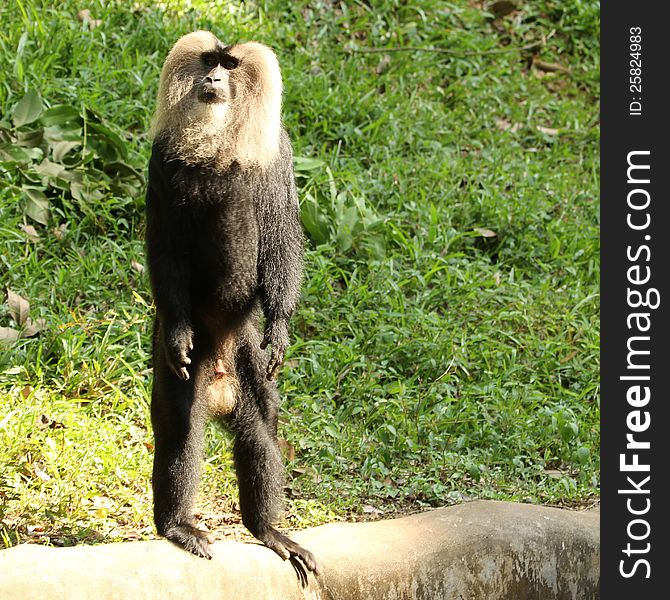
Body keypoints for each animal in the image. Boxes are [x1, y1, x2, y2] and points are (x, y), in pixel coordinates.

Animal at [146, 30, 318, 576]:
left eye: (230, 64)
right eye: (208, 61)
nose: (213, 78)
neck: (218, 140)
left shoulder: (278, 156)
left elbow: (281, 229)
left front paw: (279, 327)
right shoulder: (160, 161)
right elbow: (165, 245)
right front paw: (179, 329)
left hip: (248, 367)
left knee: (260, 434)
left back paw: (267, 530)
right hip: (187, 371)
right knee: (181, 431)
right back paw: (177, 527)